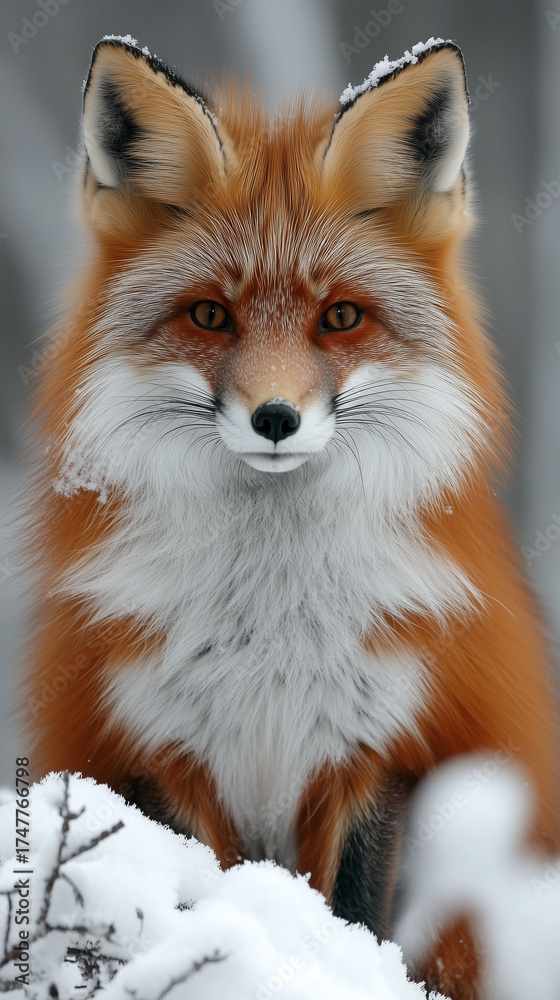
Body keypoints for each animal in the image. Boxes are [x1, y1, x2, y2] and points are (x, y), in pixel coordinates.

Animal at [23, 34, 559, 998]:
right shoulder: (158, 746)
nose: (276, 418)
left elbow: (351, 913)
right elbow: (206, 883)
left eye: (340, 316)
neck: (269, 626)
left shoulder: (384, 748)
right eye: (210, 314)